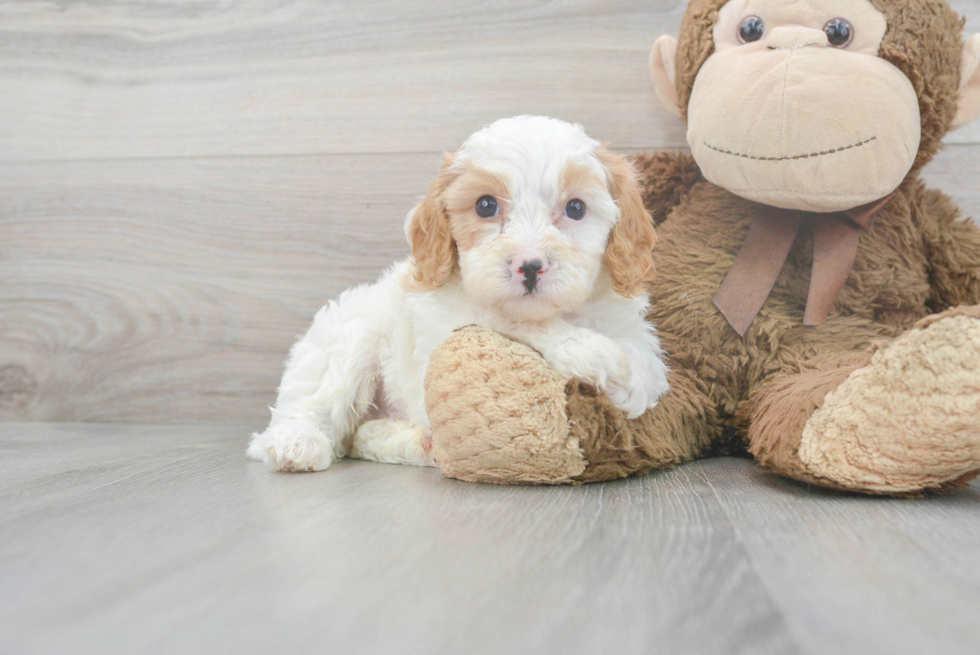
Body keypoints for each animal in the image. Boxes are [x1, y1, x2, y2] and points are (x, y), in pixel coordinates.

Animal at [249, 116, 668, 472]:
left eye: (576, 208)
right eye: (485, 205)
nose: (530, 266)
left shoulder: (628, 326)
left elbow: (643, 367)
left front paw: (626, 377)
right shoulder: (451, 326)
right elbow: (507, 320)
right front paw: (589, 353)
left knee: (359, 438)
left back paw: (416, 442)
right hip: (346, 342)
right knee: (307, 410)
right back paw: (295, 443)